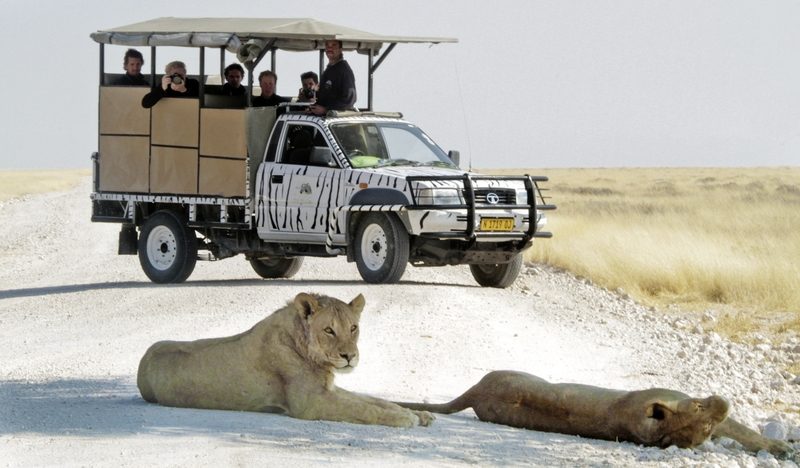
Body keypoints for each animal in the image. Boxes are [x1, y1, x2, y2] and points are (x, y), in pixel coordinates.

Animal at [141, 292, 434, 428]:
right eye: (329, 330)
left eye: (353, 328)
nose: (349, 356)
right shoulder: (311, 403)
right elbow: (363, 409)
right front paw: (406, 418)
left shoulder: (327, 389)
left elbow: (374, 400)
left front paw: (418, 413)